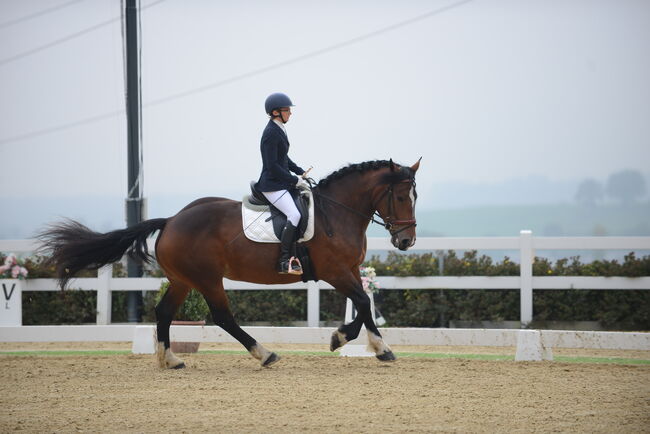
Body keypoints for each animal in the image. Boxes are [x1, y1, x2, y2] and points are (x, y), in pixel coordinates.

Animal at [38, 158, 418, 368]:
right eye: (401, 196)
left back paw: (170, 360)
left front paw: (369, 345)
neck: (336, 212)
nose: (406, 241)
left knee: (164, 312)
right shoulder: (336, 272)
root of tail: (171, 220)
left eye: (415, 196)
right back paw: (264, 354)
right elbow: (363, 303)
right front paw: (352, 342)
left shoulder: (350, 270)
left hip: (183, 280)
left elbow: (364, 306)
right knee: (222, 316)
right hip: (207, 279)